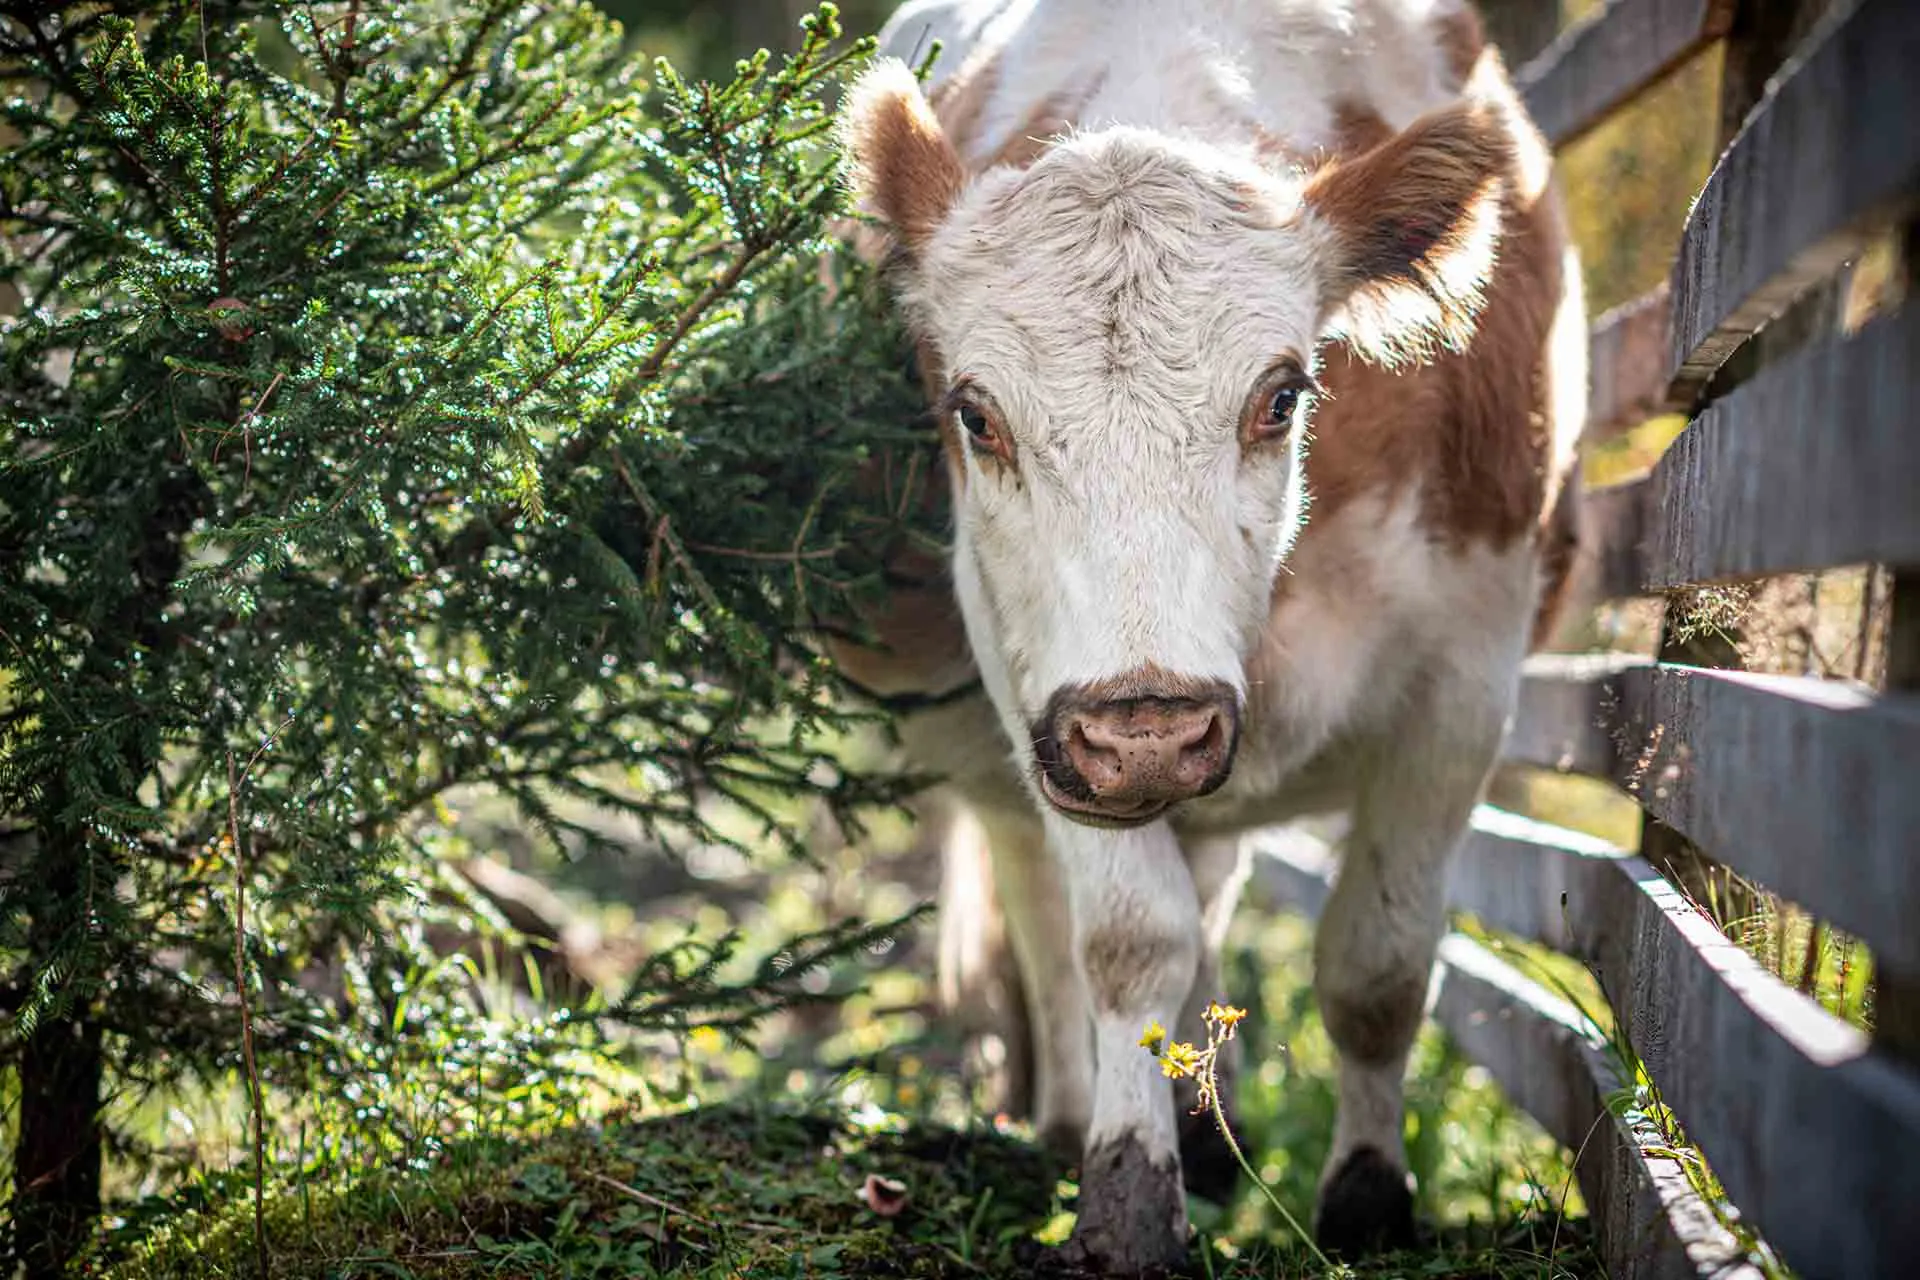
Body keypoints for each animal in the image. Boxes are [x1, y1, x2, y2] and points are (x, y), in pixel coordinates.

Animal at [833, 0, 1582, 1274]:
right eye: (974, 413)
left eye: (1281, 394)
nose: (1150, 729)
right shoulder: (1048, 704)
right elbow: (1127, 941)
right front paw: (1129, 1189)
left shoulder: (1462, 687)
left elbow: (1379, 965)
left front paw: (1368, 1193)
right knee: (1048, 914)